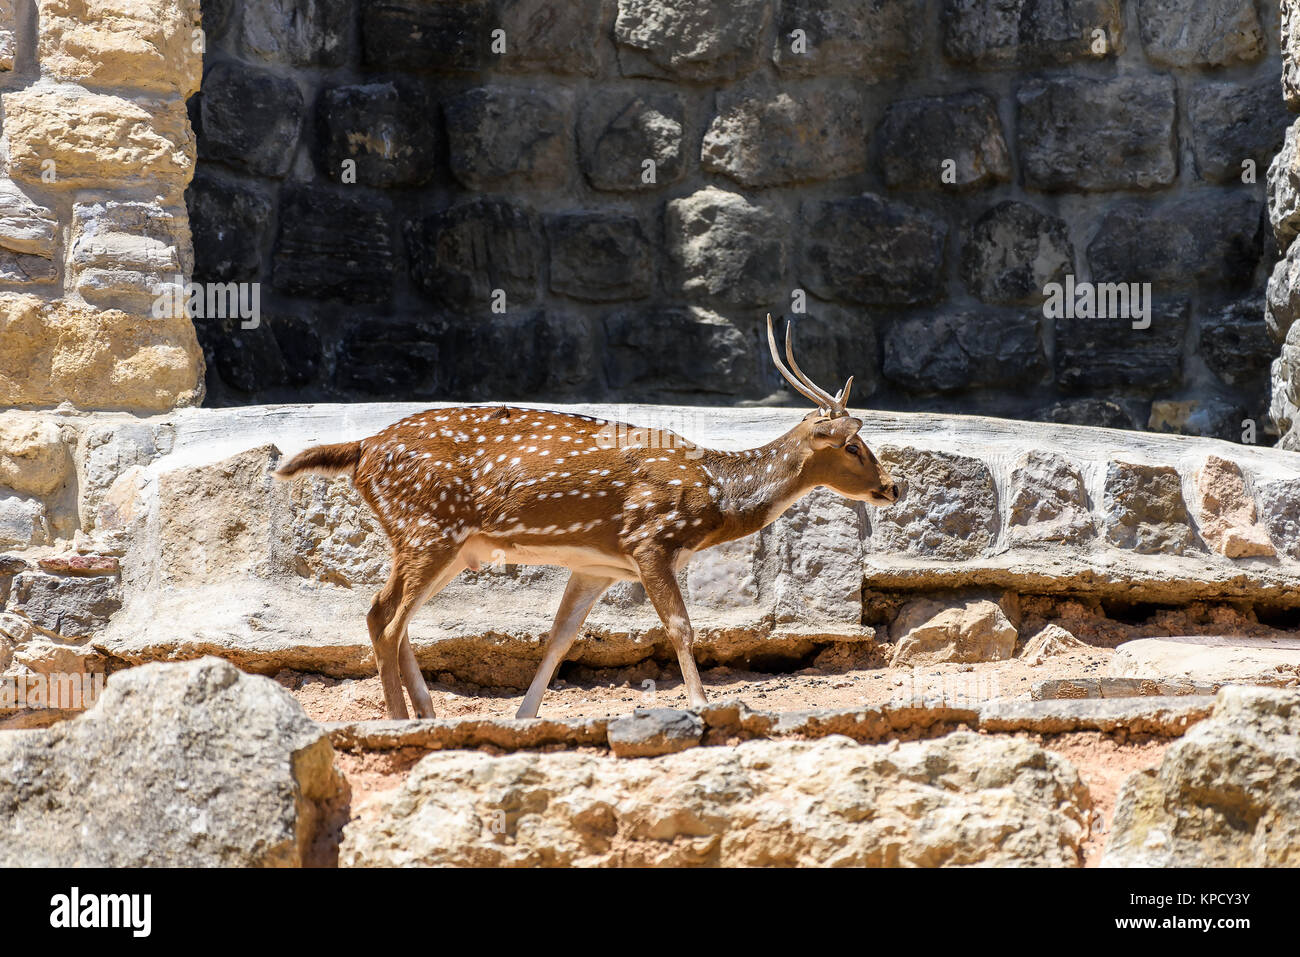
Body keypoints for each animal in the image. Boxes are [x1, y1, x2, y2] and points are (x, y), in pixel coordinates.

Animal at [274, 315, 900, 720]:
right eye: (852, 445)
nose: (893, 486)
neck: (715, 495)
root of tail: (361, 449)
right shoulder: (651, 539)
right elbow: (681, 626)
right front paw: (705, 704)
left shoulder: (597, 566)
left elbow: (559, 639)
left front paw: (525, 715)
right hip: (428, 527)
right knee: (384, 616)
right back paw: (400, 719)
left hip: (440, 541)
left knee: (394, 616)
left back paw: (426, 711)